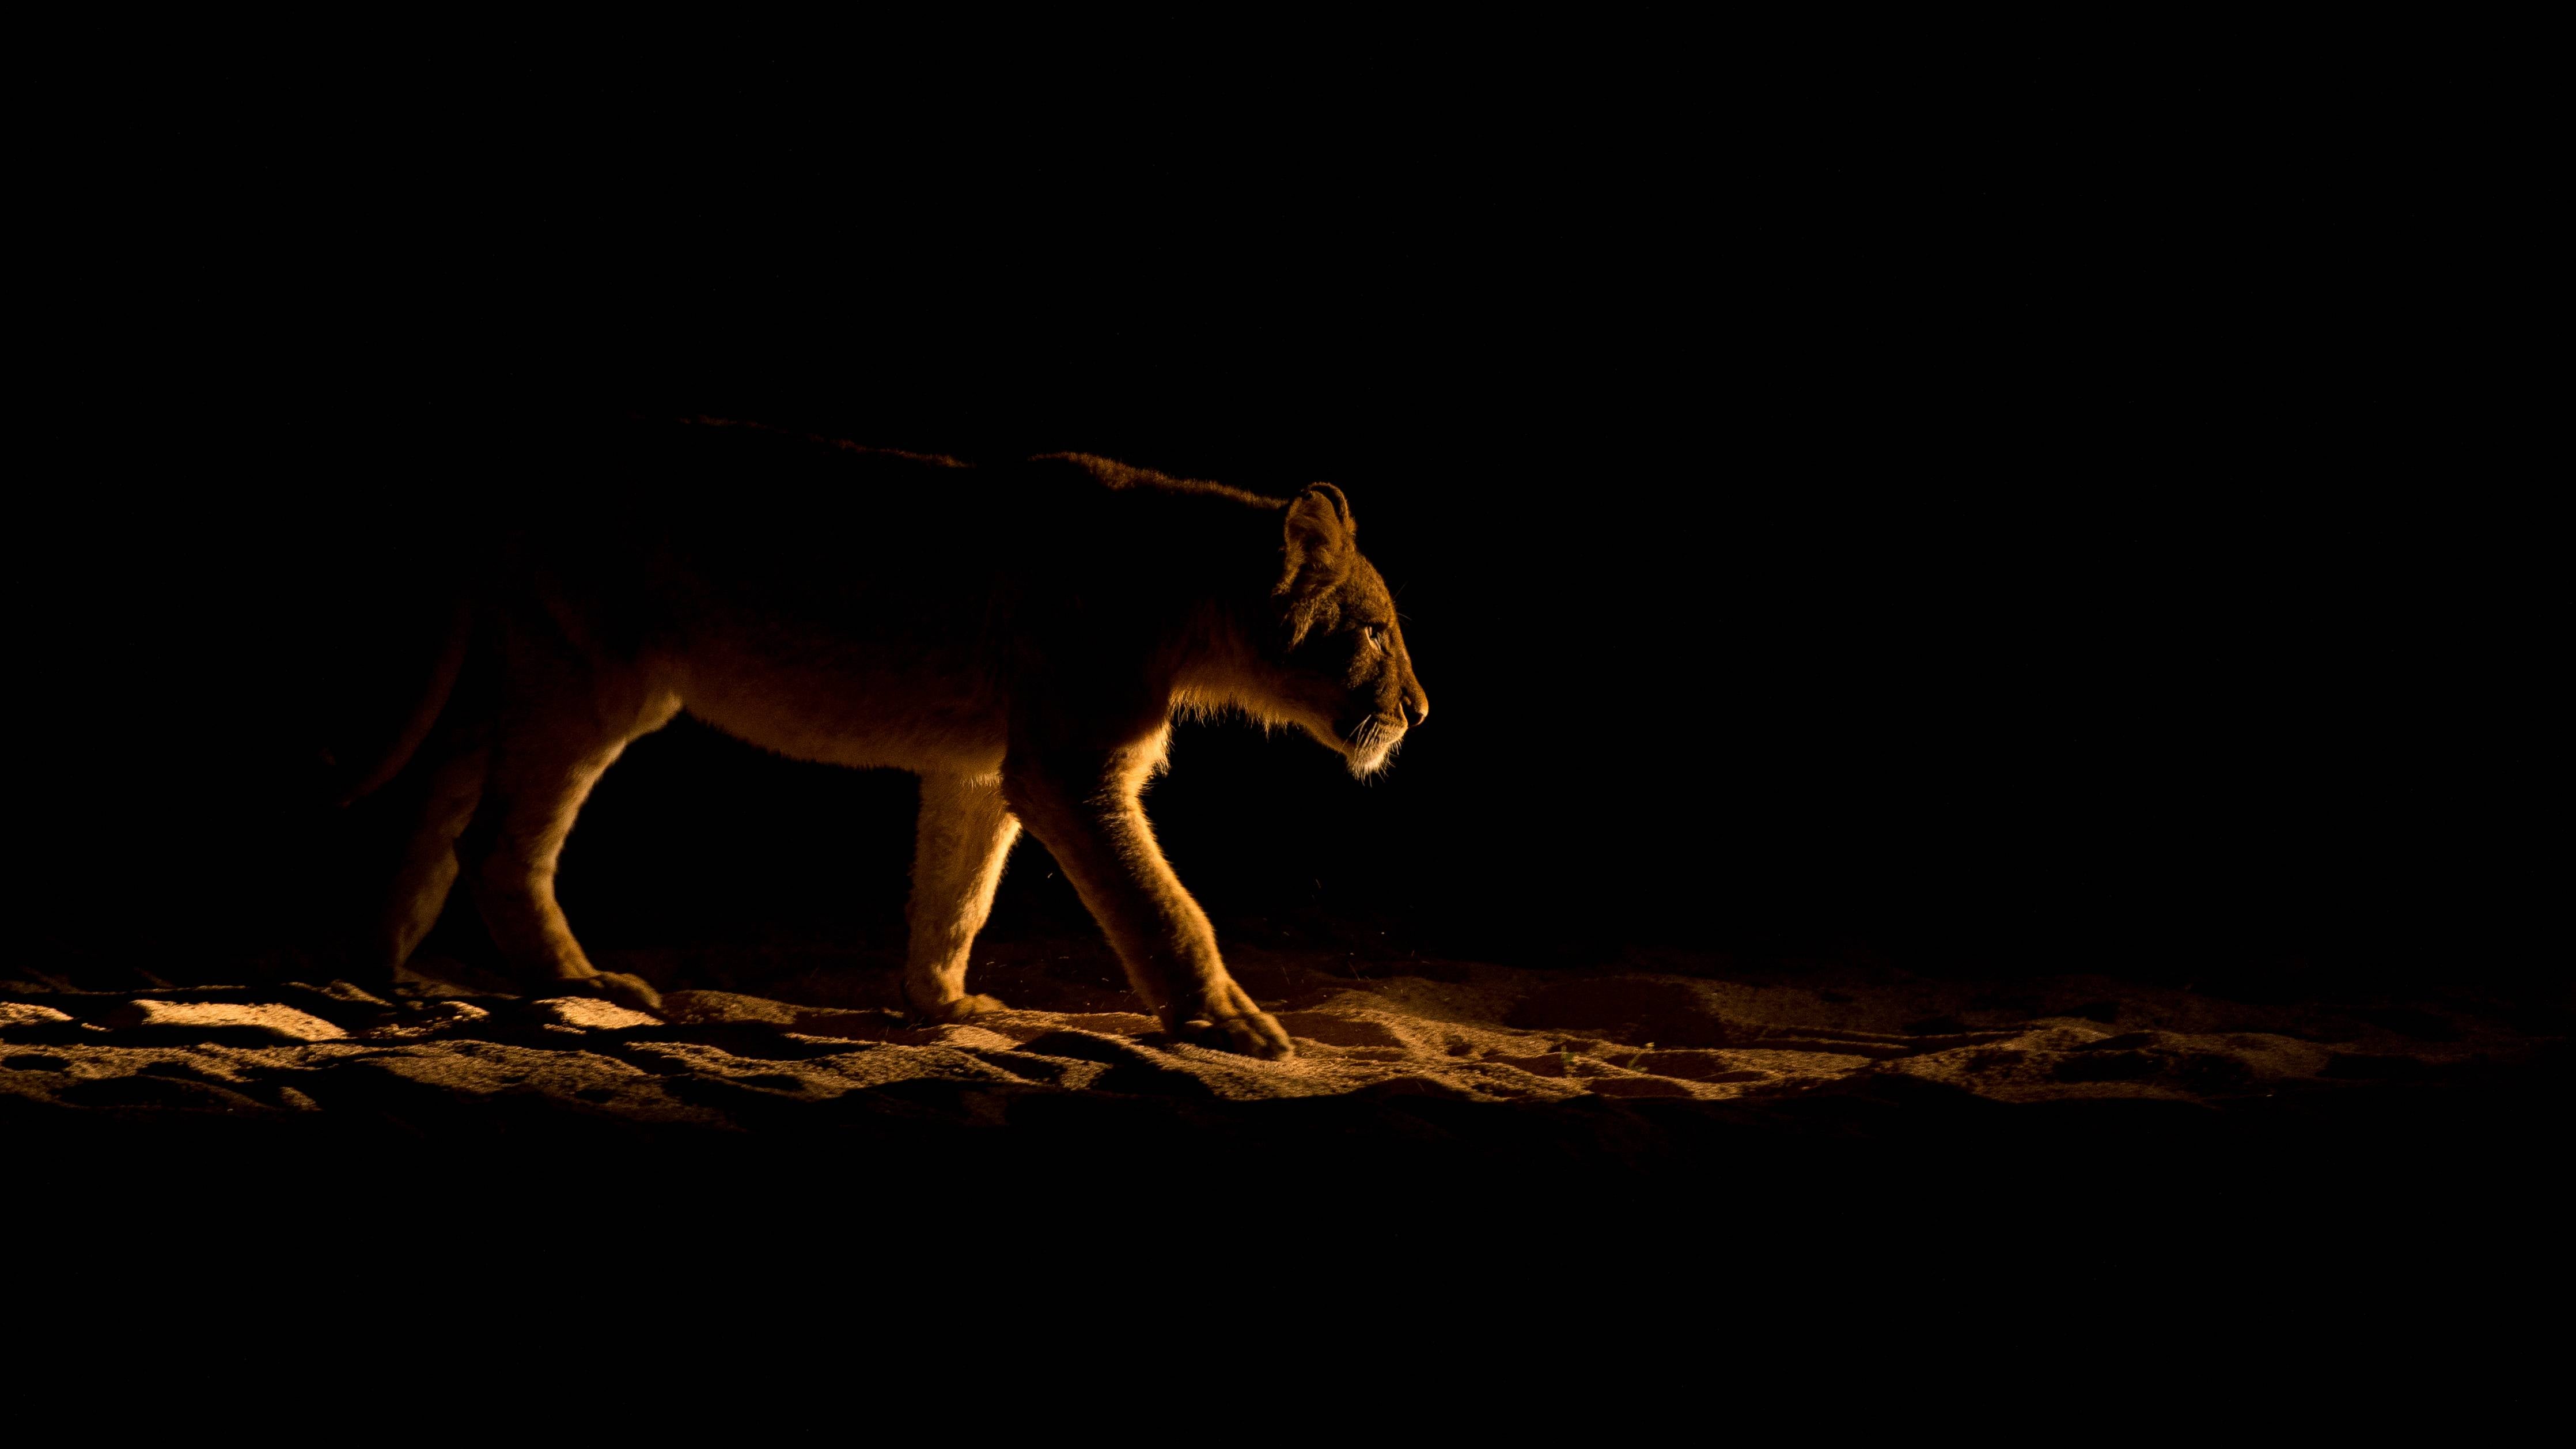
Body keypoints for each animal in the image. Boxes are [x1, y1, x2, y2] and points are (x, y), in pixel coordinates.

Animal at [340, 416, 1429, 1059]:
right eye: (1374, 631)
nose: (1422, 712)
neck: (1192, 597)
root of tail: (513, 476)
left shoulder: (986, 770)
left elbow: (957, 895)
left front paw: (942, 1007)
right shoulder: (1071, 768)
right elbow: (1166, 908)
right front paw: (1226, 1020)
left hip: (522, 670)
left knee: (433, 795)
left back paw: (383, 977)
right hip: (595, 681)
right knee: (497, 839)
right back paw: (574, 981)